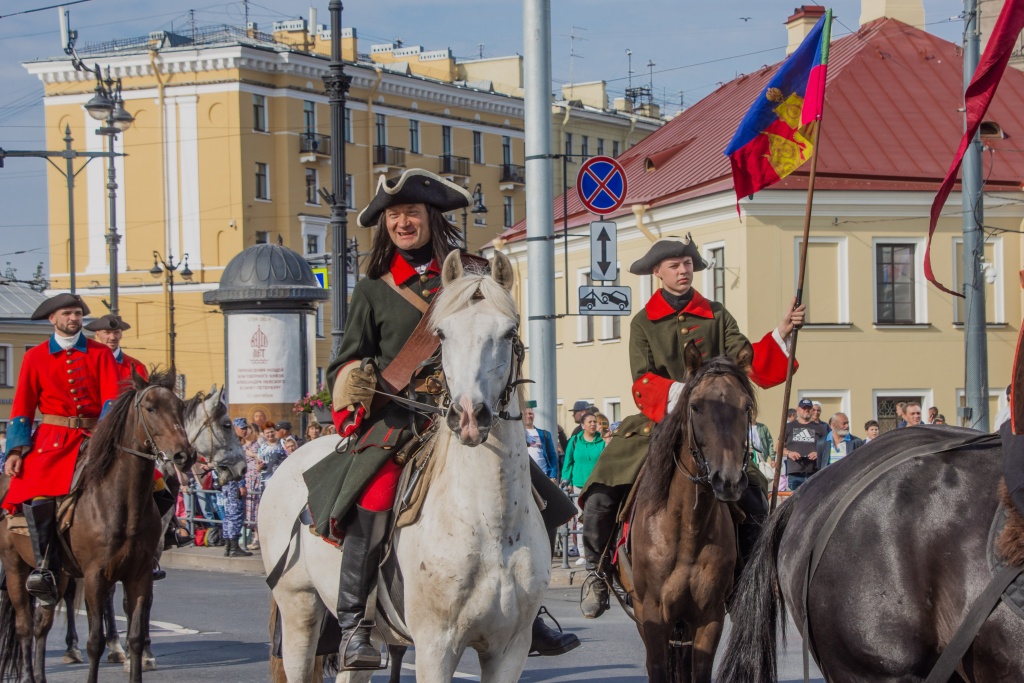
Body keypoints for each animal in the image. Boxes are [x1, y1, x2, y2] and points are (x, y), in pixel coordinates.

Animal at [0, 370, 193, 679]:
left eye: (179, 407)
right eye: (150, 408)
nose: (184, 456)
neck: (121, 503)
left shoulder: (140, 575)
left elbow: (135, 636)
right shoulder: (94, 576)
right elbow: (95, 641)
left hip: (58, 573)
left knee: (42, 622)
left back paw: (41, 674)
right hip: (15, 567)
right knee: (25, 627)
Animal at [262, 250, 552, 683]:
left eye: (508, 332)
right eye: (442, 334)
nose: (469, 416)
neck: (490, 523)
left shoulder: (510, 651)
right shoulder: (436, 648)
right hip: (299, 608)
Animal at [618, 344, 757, 683]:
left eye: (746, 406)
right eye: (695, 406)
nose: (728, 480)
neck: (688, 530)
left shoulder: (710, 617)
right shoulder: (652, 614)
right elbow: (658, 669)